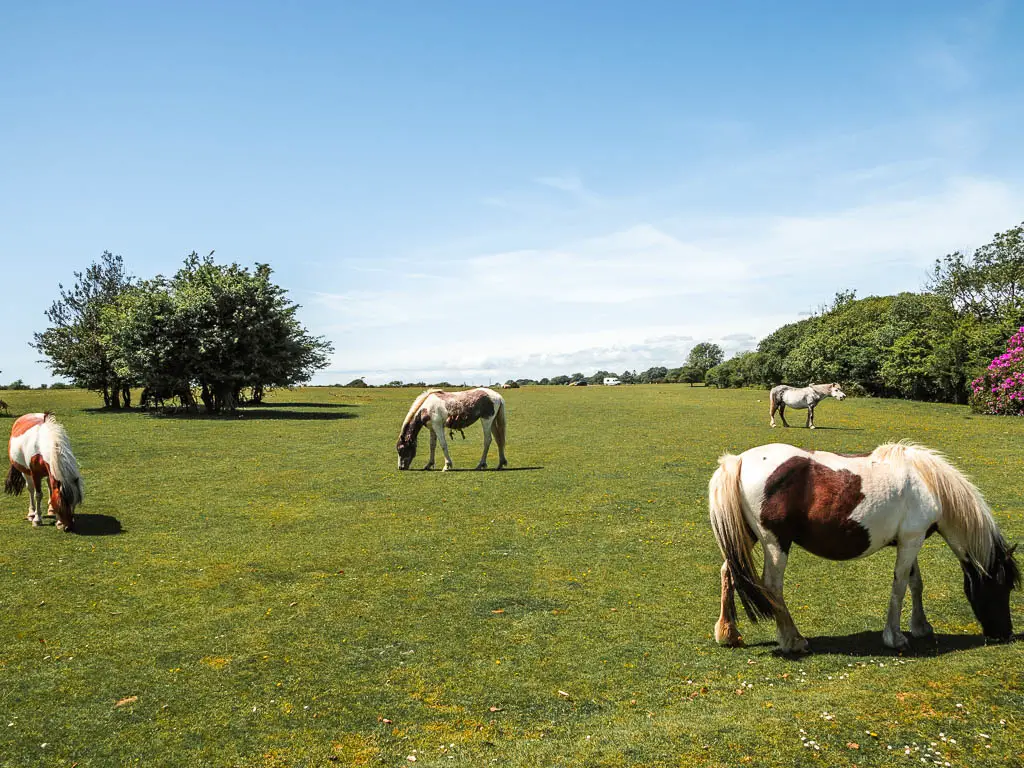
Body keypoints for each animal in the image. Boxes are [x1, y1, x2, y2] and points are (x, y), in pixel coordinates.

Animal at [708, 444, 1019, 655]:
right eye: (1002, 587)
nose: (1004, 633)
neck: (928, 483)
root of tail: (739, 460)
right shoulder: (911, 540)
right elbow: (900, 586)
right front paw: (895, 637)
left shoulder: (910, 540)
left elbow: (916, 583)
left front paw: (921, 627)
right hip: (775, 543)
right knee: (773, 587)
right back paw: (793, 641)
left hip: (746, 536)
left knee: (728, 571)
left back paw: (728, 633)